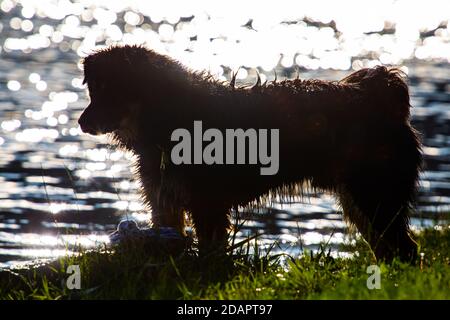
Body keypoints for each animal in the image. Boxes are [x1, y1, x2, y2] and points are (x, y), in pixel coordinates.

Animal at [78, 44, 422, 260]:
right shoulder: (164, 200)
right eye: (93, 91)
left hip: (376, 195)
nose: (81, 122)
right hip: (358, 200)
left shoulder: (208, 204)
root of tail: (380, 99)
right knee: (387, 247)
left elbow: (211, 253)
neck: (167, 118)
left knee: (404, 248)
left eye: (112, 91)